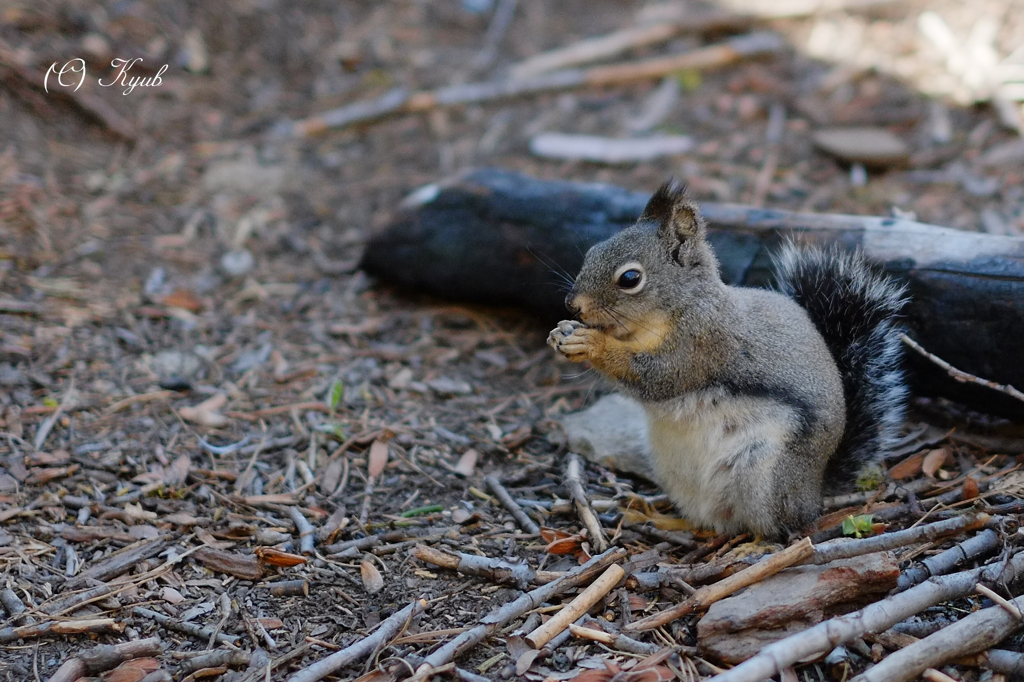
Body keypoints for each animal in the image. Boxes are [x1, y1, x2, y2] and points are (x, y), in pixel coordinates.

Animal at [548, 183, 909, 540]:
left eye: (630, 278)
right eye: (592, 251)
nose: (572, 305)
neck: (673, 310)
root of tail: (813, 492)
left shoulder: (703, 343)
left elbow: (657, 377)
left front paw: (590, 343)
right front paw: (562, 332)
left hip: (764, 474)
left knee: (773, 525)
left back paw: (755, 544)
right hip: (675, 473)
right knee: (707, 522)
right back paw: (653, 515)